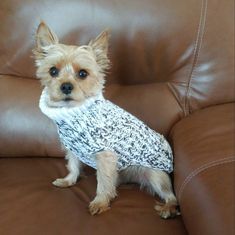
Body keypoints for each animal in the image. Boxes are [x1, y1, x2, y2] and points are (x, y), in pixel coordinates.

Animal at [32, 21, 180, 218]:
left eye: (83, 74)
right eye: (53, 71)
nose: (66, 86)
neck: (75, 112)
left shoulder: (105, 155)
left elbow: (103, 182)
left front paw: (100, 202)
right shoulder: (74, 147)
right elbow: (73, 166)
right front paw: (69, 181)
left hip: (155, 174)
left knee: (171, 195)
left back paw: (168, 208)